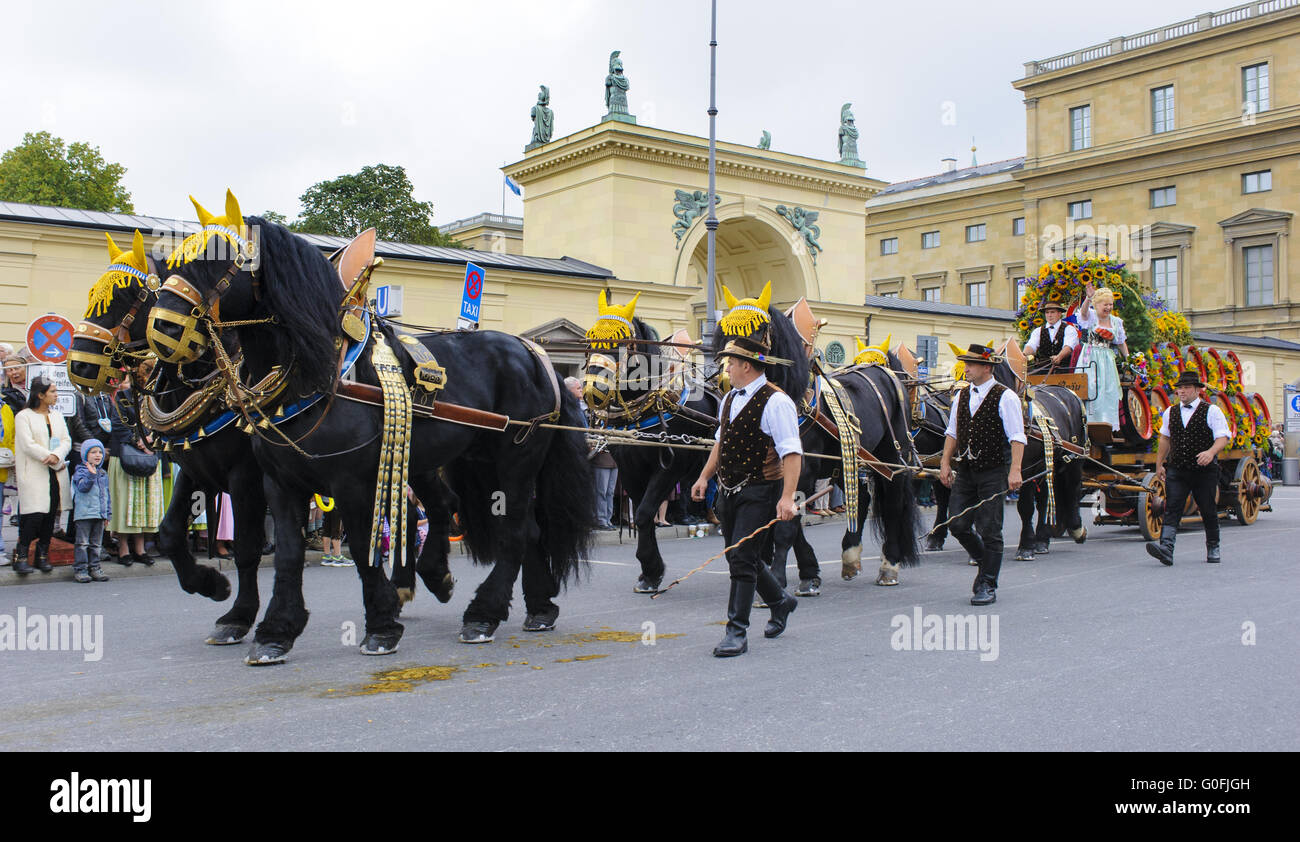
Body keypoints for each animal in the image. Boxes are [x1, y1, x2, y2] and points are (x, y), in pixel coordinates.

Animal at [148, 214, 595, 660]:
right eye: (165, 270)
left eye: (220, 262)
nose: (163, 327)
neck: (318, 375)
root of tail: (535, 355)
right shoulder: (276, 482)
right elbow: (286, 553)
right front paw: (275, 630)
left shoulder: (340, 481)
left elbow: (362, 547)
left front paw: (381, 624)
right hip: (465, 460)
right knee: (491, 520)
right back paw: (530, 605)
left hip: (515, 461)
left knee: (513, 531)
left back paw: (482, 613)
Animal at [582, 310, 717, 592]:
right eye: (590, 340)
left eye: (621, 342)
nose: (592, 389)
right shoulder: (629, 469)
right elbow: (644, 512)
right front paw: (650, 572)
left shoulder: (670, 467)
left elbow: (644, 512)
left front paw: (651, 570)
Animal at [712, 307, 925, 584]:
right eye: (721, 335)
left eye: (755, 333)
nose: (726, 379)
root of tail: (885, 372)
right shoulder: (775, 474)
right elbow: (783, 521)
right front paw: (808, 572)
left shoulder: (802, 471)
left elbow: (785, 526)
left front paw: (781, 576)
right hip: (850, 460)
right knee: (861, 497)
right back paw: (850, 556)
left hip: (892, 457)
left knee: (893, 503)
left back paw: (889, 565)